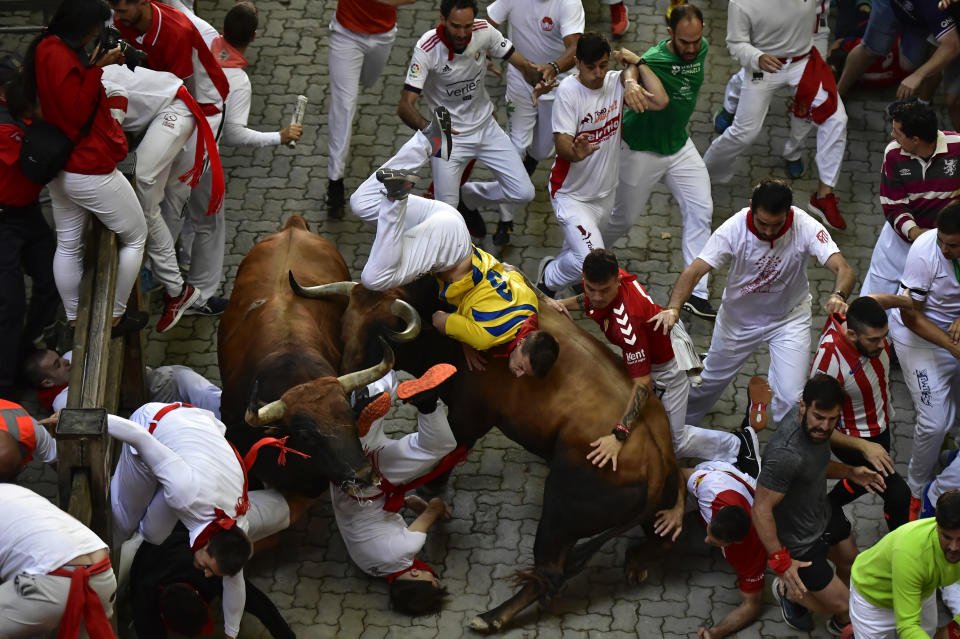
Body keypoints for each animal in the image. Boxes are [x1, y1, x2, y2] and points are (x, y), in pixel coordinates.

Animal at [292, 278, 684, 632]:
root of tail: (657, 460)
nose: (350, 390)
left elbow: (444, 451)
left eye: (380, 336)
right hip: (648, 510)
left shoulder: (469, 416)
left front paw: (428, 490)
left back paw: (491, 617)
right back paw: (637, 561)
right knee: (663, 537)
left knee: (549, 573)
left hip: (559, 513)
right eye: (344, 326)